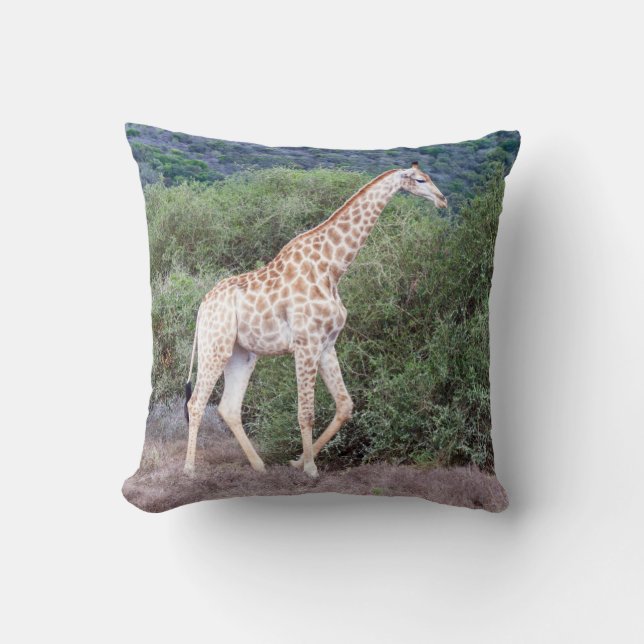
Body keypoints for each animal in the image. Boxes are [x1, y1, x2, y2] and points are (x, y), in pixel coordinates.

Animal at [183, 162, 447, 478]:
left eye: (430, 178)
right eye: (420, 180)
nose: (443, 200)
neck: (332, 268)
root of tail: (202, 305)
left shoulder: (326, 344)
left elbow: (345, 405)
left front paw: (298, 461)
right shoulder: (306, 343)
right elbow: (305, 412)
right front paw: (309, 467)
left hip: (242, 353)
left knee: (229, 407)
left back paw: (259, 465)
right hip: (215, 345)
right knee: (196, 402)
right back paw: (189, 469)